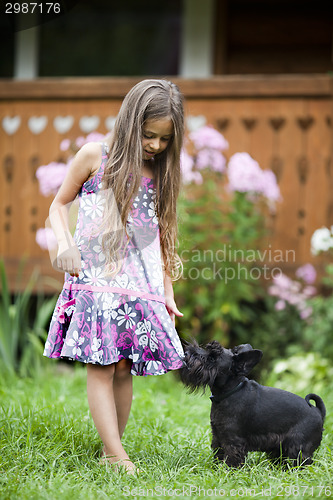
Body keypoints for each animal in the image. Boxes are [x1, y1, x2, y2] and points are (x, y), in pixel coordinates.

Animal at [180, 342, 326, 466]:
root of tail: (318, 411)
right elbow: (218, 456)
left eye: (212, 358)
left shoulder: (233, 442)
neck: (230, 392)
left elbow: (231, 459)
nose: (186, 353)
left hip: (298, 448)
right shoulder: (217, 437)